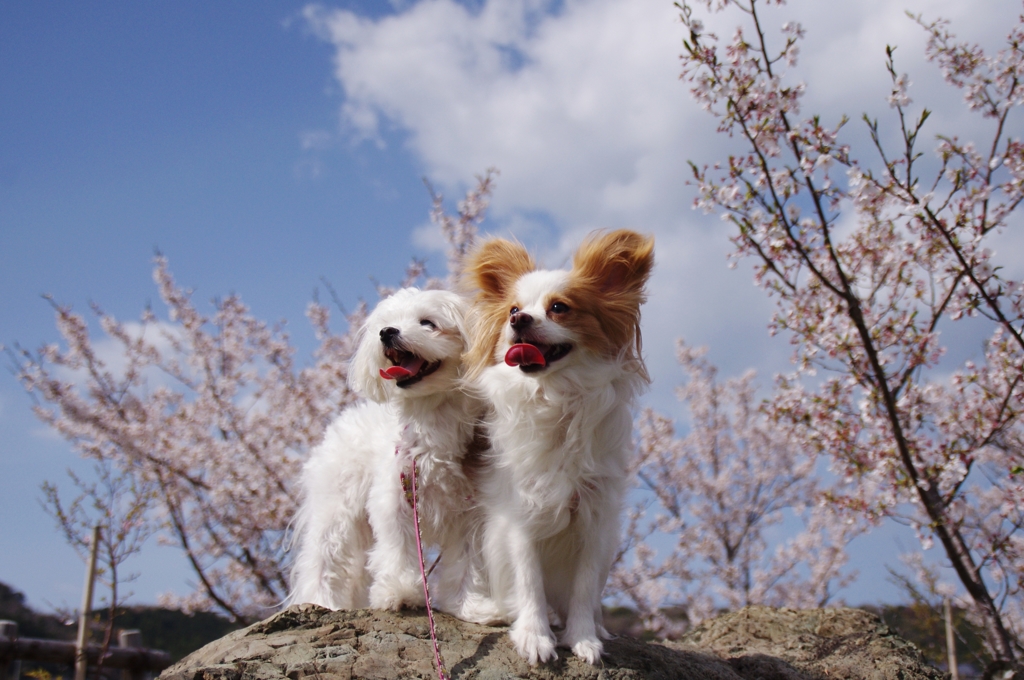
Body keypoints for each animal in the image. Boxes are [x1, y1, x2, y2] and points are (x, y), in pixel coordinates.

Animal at [286, 286, 497, 622]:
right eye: (384, 324)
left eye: (428, 323)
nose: (387, 332)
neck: (432, 416)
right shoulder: (395, 499)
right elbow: (398, 548)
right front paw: (399, 593)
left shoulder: (471, 510)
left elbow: (467, 561)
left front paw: (471, 605)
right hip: (337, 506)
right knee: (324, 557)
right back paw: (321, 601)